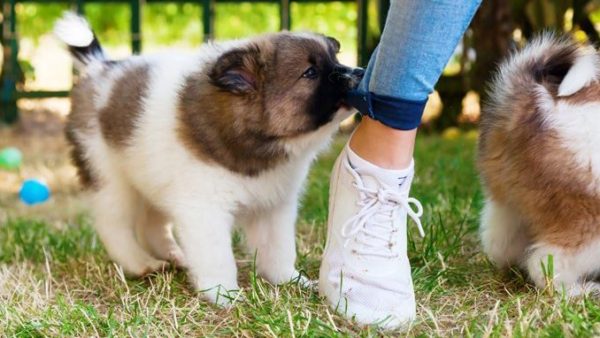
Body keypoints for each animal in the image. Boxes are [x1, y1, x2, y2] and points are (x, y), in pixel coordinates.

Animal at [54, 12, 360, 304]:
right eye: (310, 72)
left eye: (335, 58)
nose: (357, 73)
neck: (255, 143)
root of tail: (99, 67)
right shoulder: (204, 209)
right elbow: (217, 256)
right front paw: (224, 294)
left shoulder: (273, 207)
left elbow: (278, 250)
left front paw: (288, 280)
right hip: (110, 179)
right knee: (113, 225)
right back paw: (140, 263)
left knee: (151, 224)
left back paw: (174, 255)